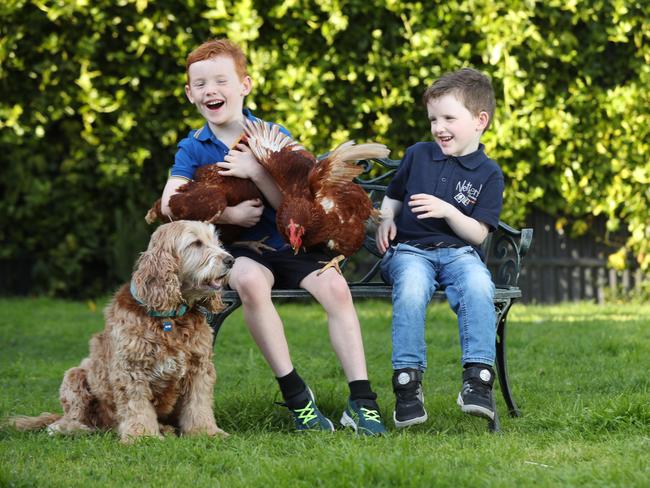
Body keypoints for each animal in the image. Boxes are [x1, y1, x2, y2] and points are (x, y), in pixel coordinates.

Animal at [8, 221, 232, 442]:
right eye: (196, 243)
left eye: (216, 241)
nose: (230, 260)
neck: (170, 318)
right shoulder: (131, 369)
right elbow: (137, 407)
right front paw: (143, 437)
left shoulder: (198, 368)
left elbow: (198, 404)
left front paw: (206, 432)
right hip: (75, 375)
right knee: (73, 417)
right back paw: (69, 428)